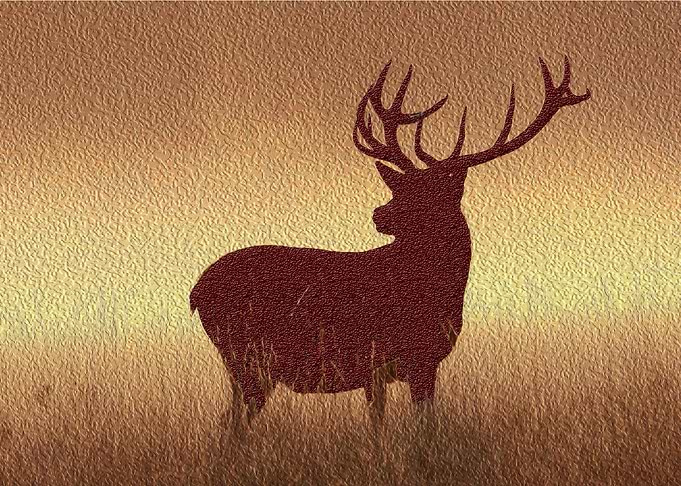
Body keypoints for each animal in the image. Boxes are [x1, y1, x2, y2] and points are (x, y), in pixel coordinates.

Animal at [190, 57, 590, 440]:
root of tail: (196, 292)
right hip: (248, 356)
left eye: (427, 195)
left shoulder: (412, 365)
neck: (436, 293)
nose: (378, 214)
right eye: (400, 188)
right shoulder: (387, 359)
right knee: (231, 426)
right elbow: (397, 429)